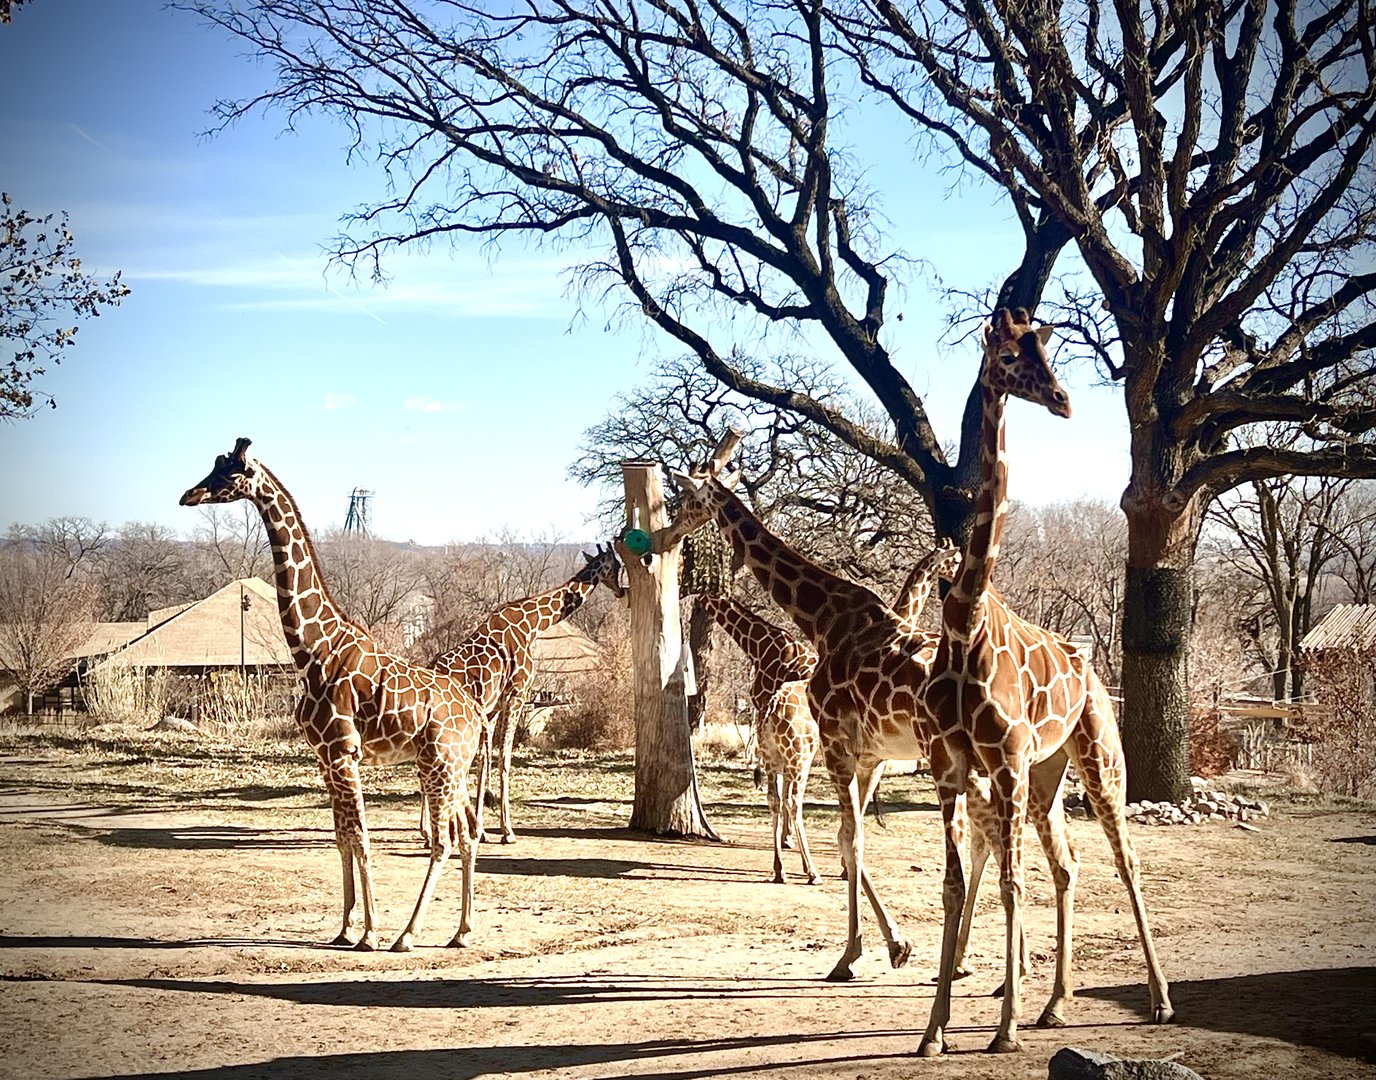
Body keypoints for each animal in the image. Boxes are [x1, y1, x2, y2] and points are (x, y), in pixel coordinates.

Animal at [180, 438, 484, 954]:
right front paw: (343, 928)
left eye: (232, 473)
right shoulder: (323, 758)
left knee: (444, 840)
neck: (312, 650)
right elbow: (340, 838)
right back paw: (461, 931)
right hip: (454, 768)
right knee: (467, 834)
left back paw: (407, 935)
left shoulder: (344, 754)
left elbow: (360, 837)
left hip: (438, 767)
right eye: (213, 465)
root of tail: (477, 713)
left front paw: (370, 932)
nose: (189, 495)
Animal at [430, 546, 625, 843]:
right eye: (616, 566)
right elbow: (505, 760)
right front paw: (507, 831)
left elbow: (484, 762)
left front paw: (482, 829)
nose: (621, 590)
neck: (532, 625)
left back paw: (427, 832)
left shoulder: (493, 707)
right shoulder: (517, 694)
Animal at [917, 308, 1173, 1055]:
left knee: (1124, 859)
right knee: (1069, 864)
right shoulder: (951, 767)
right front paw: (935, 1032)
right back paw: (1056, 1004)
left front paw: (1002, 1030)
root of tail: (1094, 671)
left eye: (1047, 349)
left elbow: (1009, 883)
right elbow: (954, 886)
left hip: (1098, 759)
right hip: (1047, 779)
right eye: (1008, 355)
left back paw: (1159, 1000)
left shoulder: (1001, 763)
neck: (966, 618)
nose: (1062, 400)